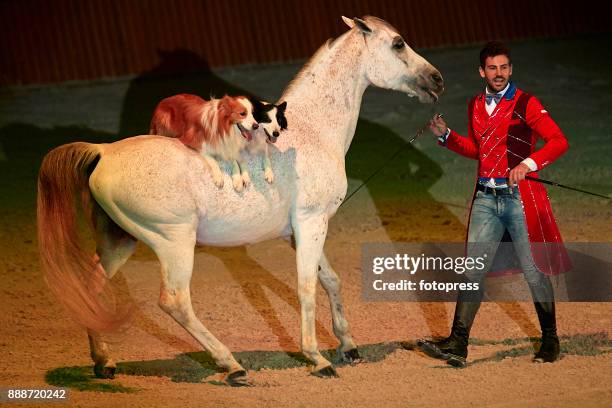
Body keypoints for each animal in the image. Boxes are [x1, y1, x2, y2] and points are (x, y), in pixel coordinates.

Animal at [37, 16, 440, 386]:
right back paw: (231, 365)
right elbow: (307, 287)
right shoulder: (311, 222)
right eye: (398, 43)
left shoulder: (300, 230)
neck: (310, 132)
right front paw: (317, 358)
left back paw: (105, 362)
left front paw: (349, 347)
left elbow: (331, 280)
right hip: (174, 243)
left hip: (120, 242)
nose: (436, 80)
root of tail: (103, 152)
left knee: (91, 288)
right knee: (175, 301)